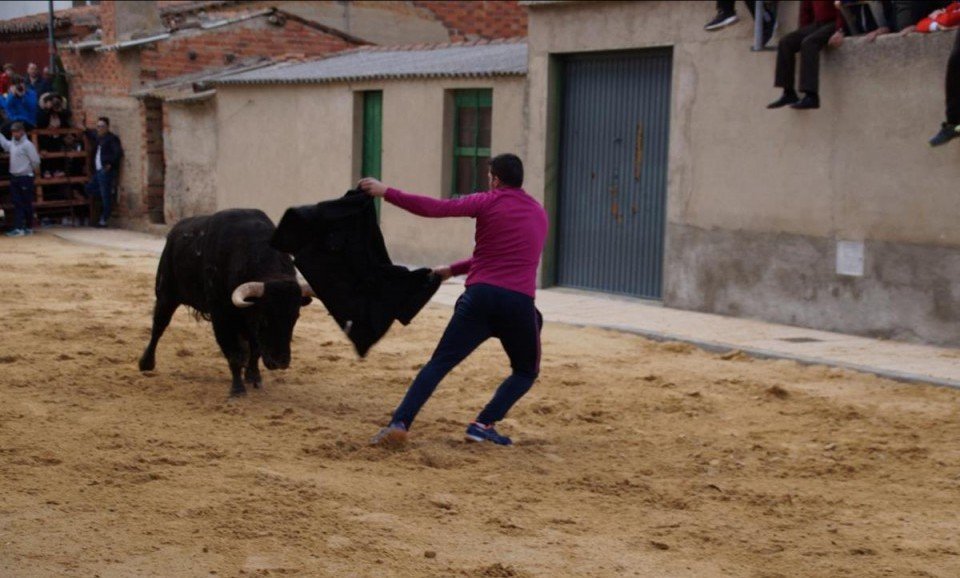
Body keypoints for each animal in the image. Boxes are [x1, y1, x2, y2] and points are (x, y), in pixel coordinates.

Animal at [138, 209, 314, 396]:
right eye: (264, 318)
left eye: (295, 317)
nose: (280, 362)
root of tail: (176, 231)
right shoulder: (222, 317)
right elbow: (234, 353)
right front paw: (238, 390)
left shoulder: (249, 324)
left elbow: (255, 351)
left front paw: (254, 377)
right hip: (166, 294)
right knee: (158, 327)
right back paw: (146, 364)